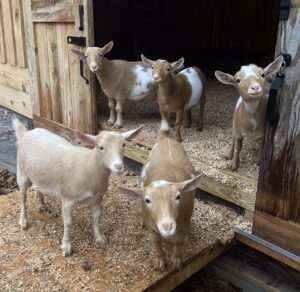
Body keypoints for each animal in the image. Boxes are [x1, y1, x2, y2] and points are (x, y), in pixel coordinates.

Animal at [14, 118, 144, 256]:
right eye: (101, 147)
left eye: (124, 145)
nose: (119, 166)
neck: (87, 166)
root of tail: (25, 133)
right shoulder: (68, 197)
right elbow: (68, 222)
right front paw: (66, 246)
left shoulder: (98, 198)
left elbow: (97, 216)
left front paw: (100, 237)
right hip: (21, 172)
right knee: (22, 197)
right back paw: (23, 221)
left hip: (38, 174)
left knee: (37, 187)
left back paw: (41, 205)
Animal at [119, 131, 202, 272]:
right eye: (147, 200)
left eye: (178, 197)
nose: (167, 227)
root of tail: (166, 138)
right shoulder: (152, 225)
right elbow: (156, 241)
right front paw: (160, 261)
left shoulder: (184, 223)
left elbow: (179, 241)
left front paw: (177, 261)